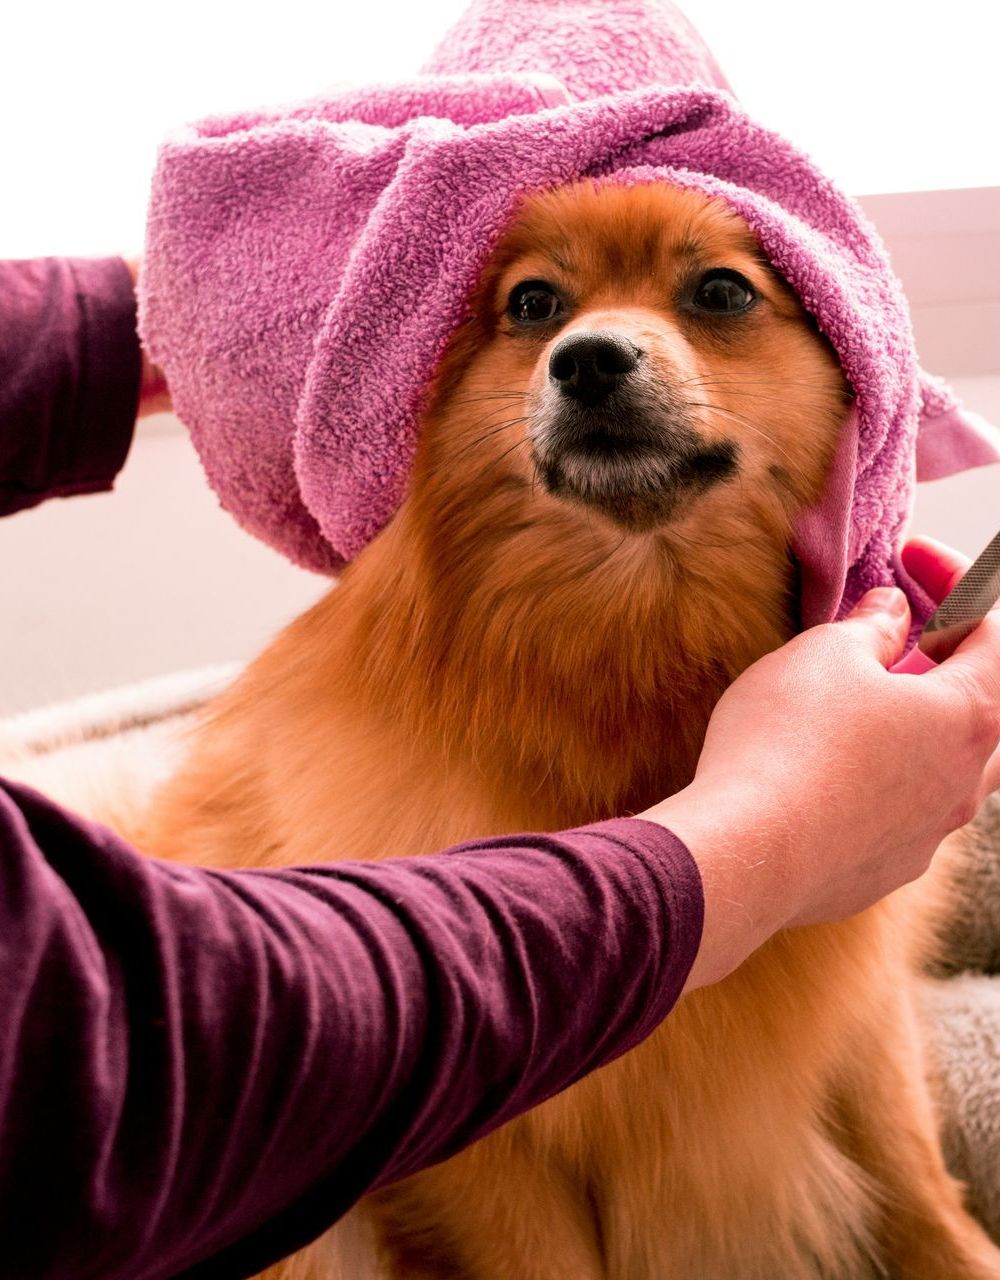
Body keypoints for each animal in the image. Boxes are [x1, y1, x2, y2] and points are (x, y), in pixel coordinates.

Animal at [128, 183, 993, 1280]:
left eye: (722, 291)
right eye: (535, 304)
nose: (586, 359)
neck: (632, 640)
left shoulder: (861, 1022)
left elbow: (921, 1194)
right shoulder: (490, 1158)